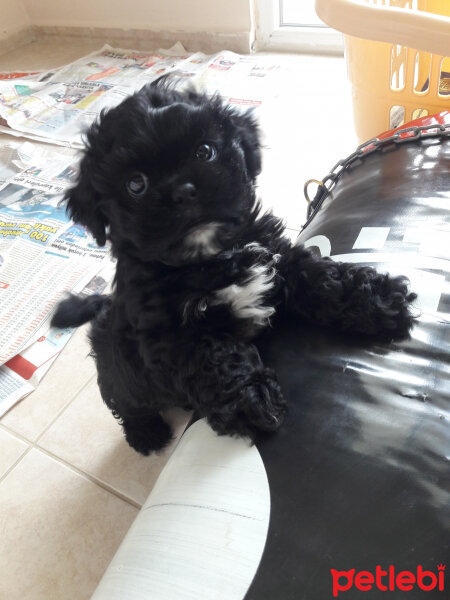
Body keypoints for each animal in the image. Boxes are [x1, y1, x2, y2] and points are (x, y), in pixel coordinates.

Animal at [51, 78, 416, 454]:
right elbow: (216, 360)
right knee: (125, 402)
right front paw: (252, 401)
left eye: (204, 152)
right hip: (119, 373)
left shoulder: (277, 258)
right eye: (136, 184)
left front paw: (379, 301)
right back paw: (145, 433)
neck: (211, 257)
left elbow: (321, 276)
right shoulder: (170, 336)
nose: (183, 191)